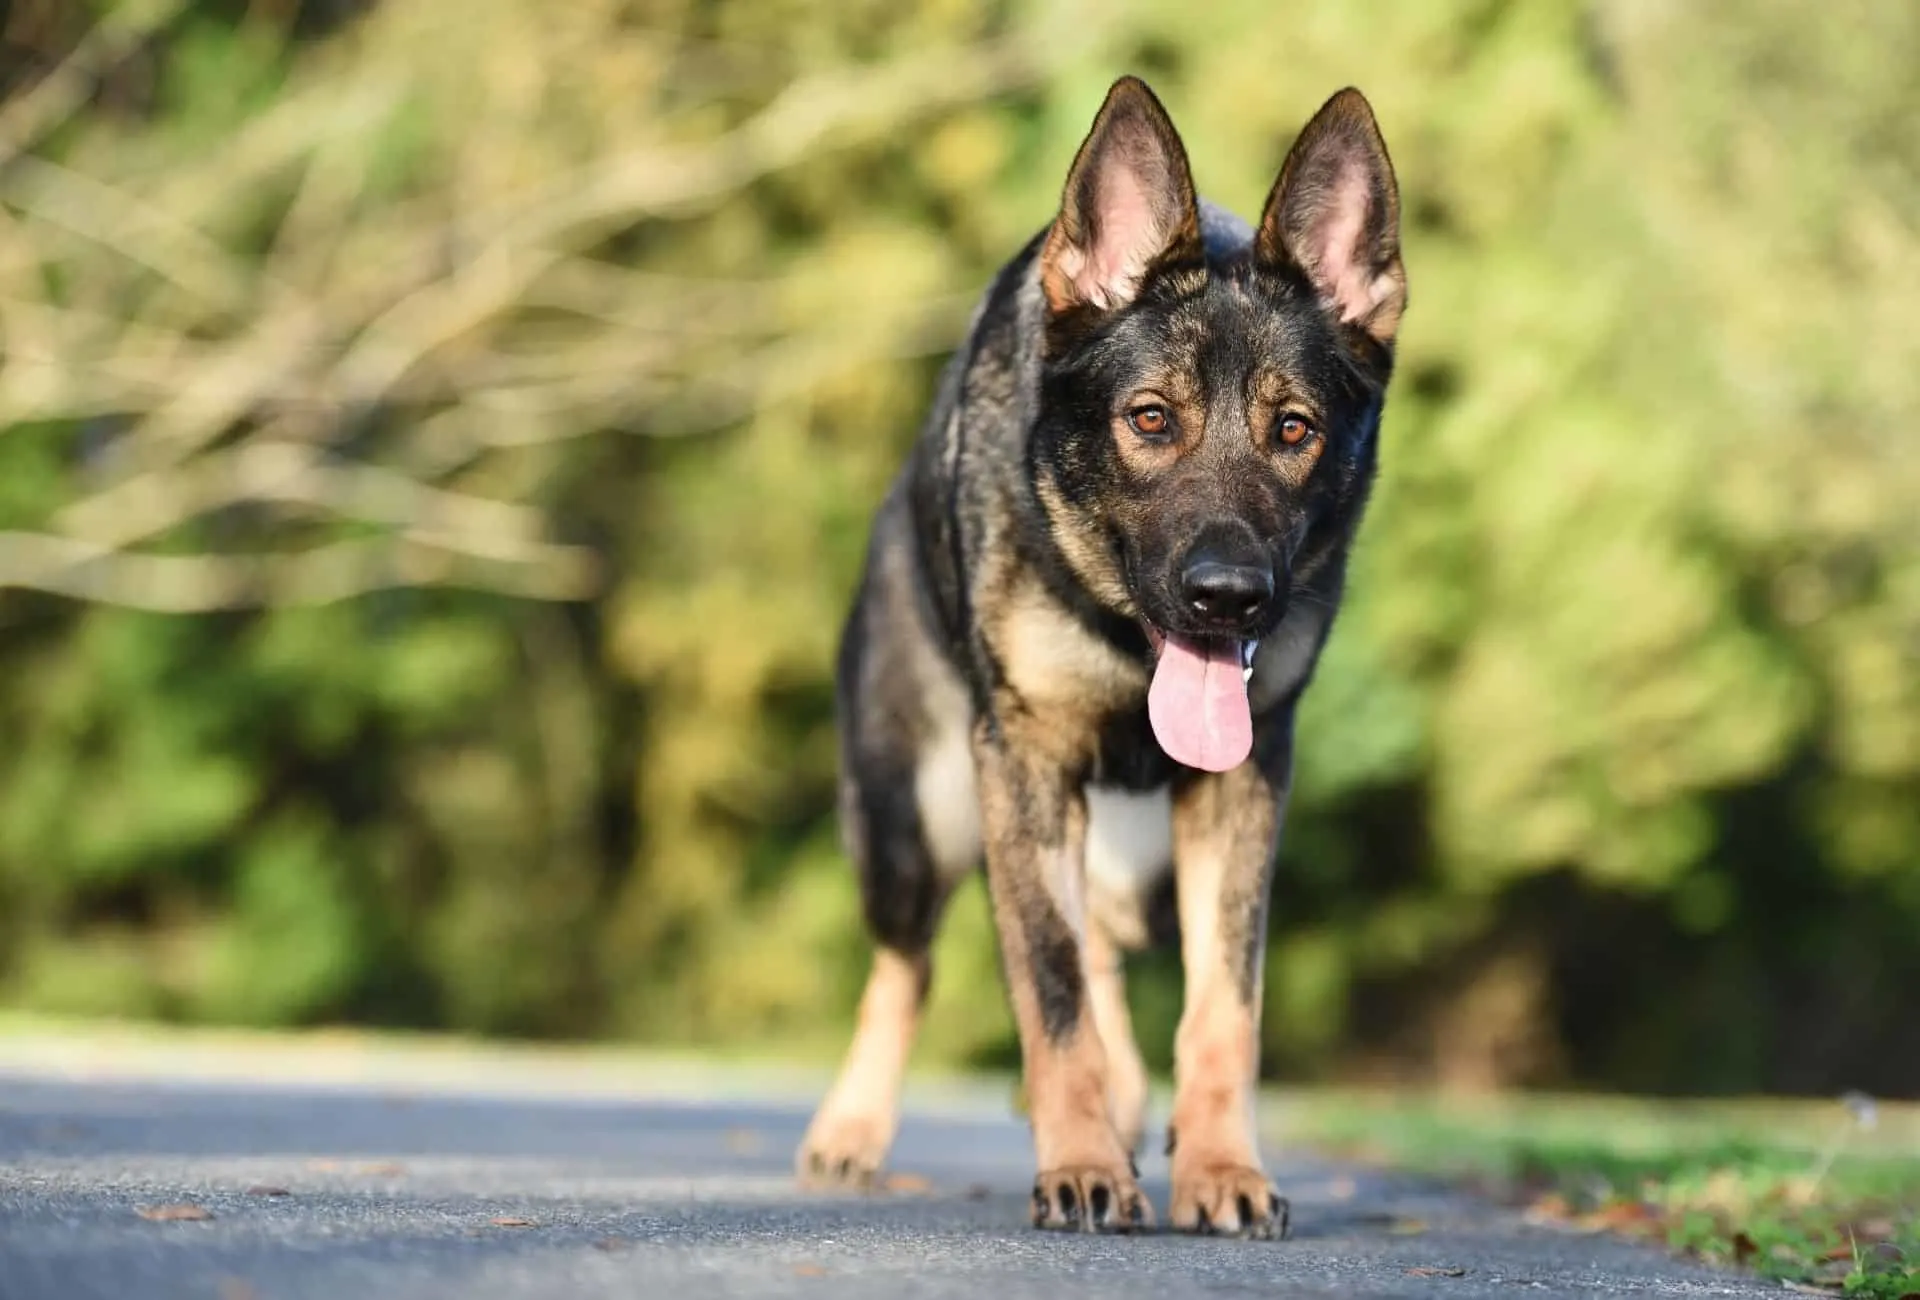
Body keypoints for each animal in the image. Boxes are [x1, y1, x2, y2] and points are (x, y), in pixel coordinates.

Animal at [798, 75, 1413, 1228]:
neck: (1129, 641)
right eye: (1151, 419)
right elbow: (1049, 986)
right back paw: (852, 1128)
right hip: (917, 823)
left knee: (1105, 951)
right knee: (910, 967)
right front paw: (1079, 1162)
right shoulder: (1027, 765)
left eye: (1295, 430)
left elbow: (1223, 1009)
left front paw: (1222, 1168)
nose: (1227, 596)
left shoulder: (1243, 787)